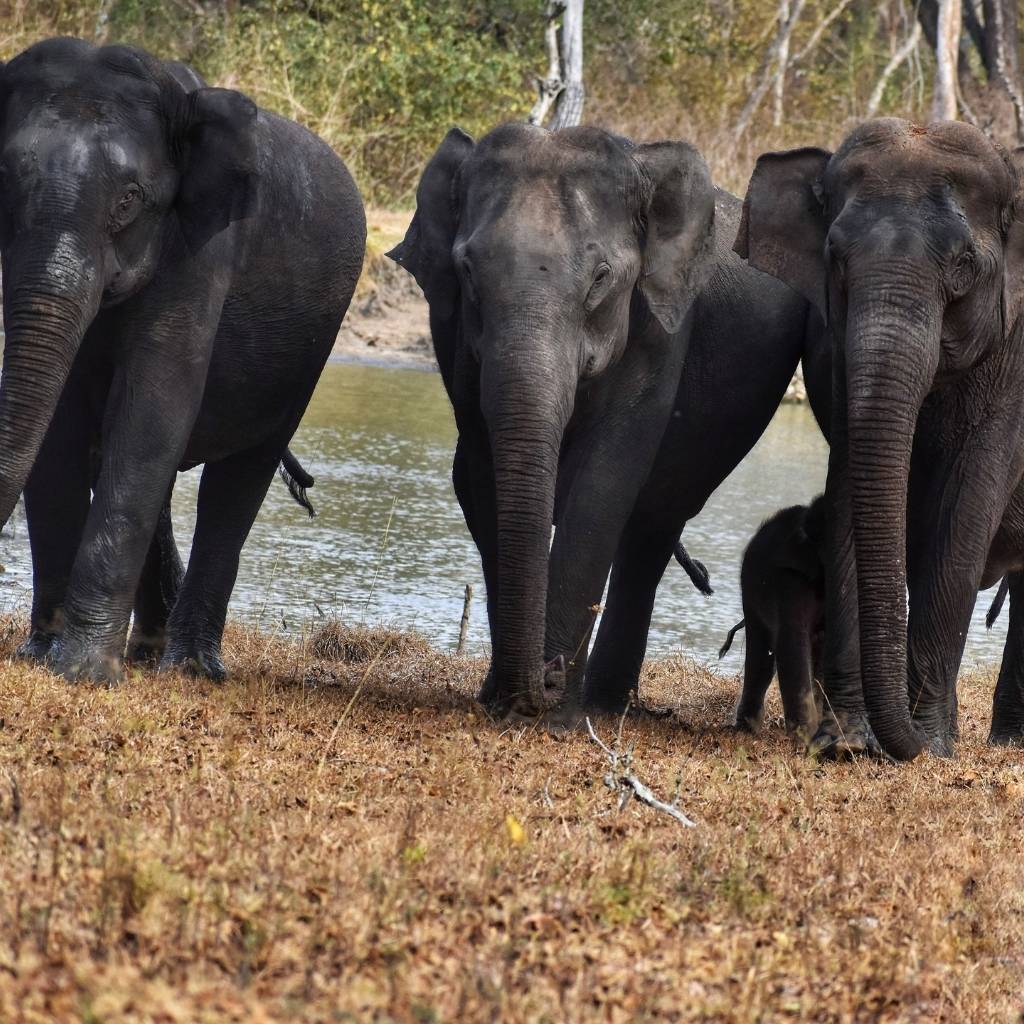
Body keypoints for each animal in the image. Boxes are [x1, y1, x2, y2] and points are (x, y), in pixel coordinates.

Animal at [0, 39, 366, 684]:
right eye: (0, 180)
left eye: (129, 200)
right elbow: (61, 422)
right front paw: (42, 659)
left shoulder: (202, 245)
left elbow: (153, 405)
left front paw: (84, 675)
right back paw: (150, 650)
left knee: (238, 479)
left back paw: (190, 667)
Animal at [387, 123, 716, 720]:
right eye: (467, 271)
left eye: (601, 278)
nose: (547, 677)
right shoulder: (452, 332)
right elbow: (481, 476)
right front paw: (505, 699)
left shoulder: (660, 333)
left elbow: (606, 481)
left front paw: (555, 718)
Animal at [716, 495, 827, 737]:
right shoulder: (788, 579)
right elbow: (792, 643)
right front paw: (807, 738)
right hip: (750, 589)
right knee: (762, 654)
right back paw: (747, 727)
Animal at [737, 117, 1024, 761]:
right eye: (834, 258)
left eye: (965, 263)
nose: (907, 743)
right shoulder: (834, 353)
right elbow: (849, 486)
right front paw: (847, 743)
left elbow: (966, 507)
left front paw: (933, 748)